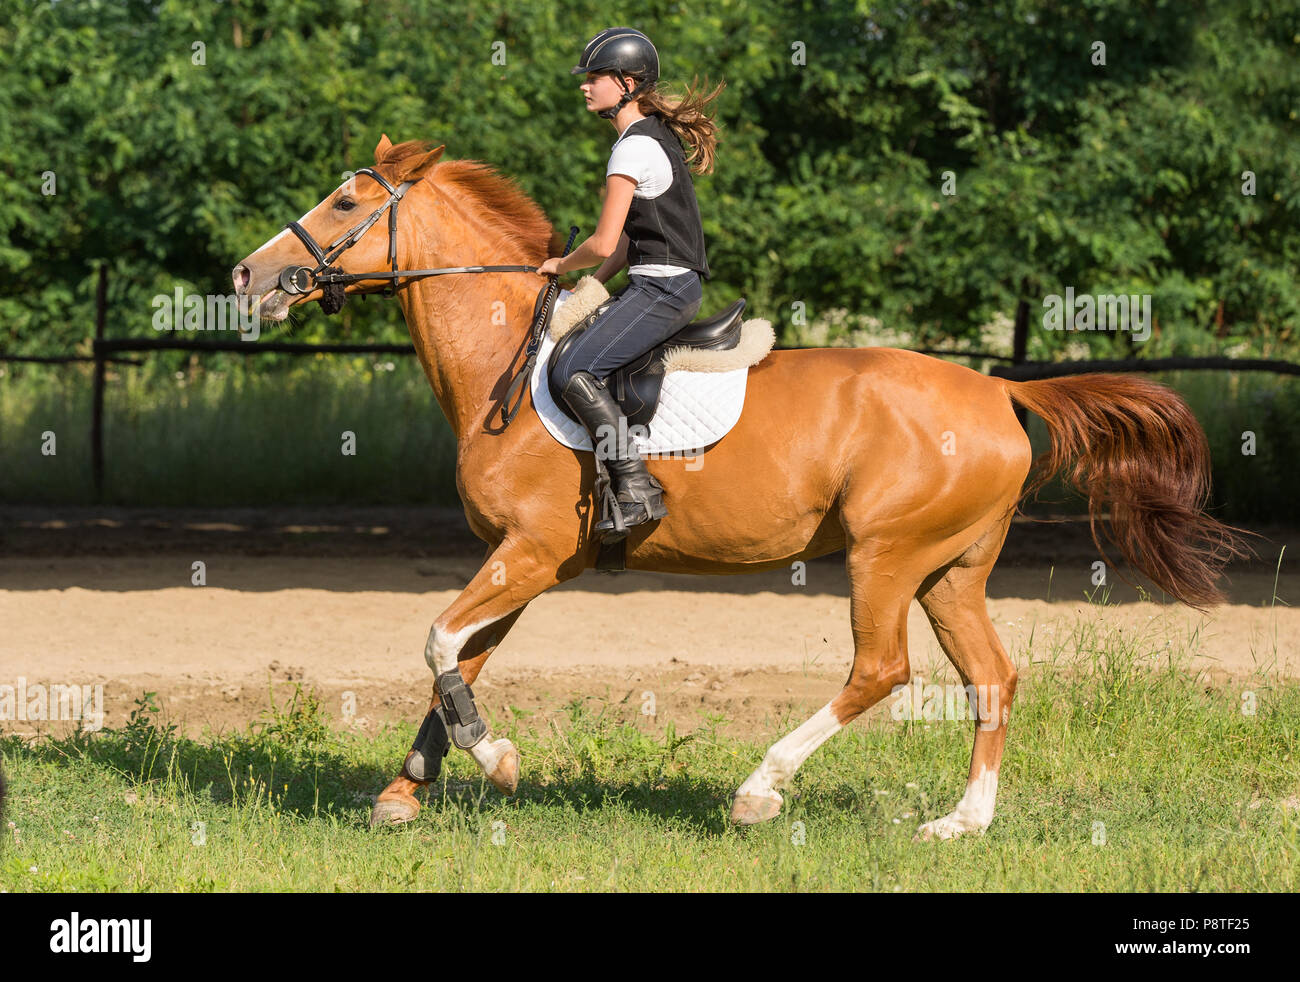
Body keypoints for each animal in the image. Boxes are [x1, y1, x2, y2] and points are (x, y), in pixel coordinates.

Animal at [233, 135, 1244, 838]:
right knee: (989, 678)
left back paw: (759, 791)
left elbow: (440, 641)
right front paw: (407, 793)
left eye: (345, 199)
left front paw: (498, 762)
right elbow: (461, 661)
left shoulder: (531, 553)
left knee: (883, 670)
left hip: (887, 555)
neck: (506, 359)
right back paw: (962, 824)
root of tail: (999, 390)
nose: (247, 275)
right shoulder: (522, 562)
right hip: (951, 569)